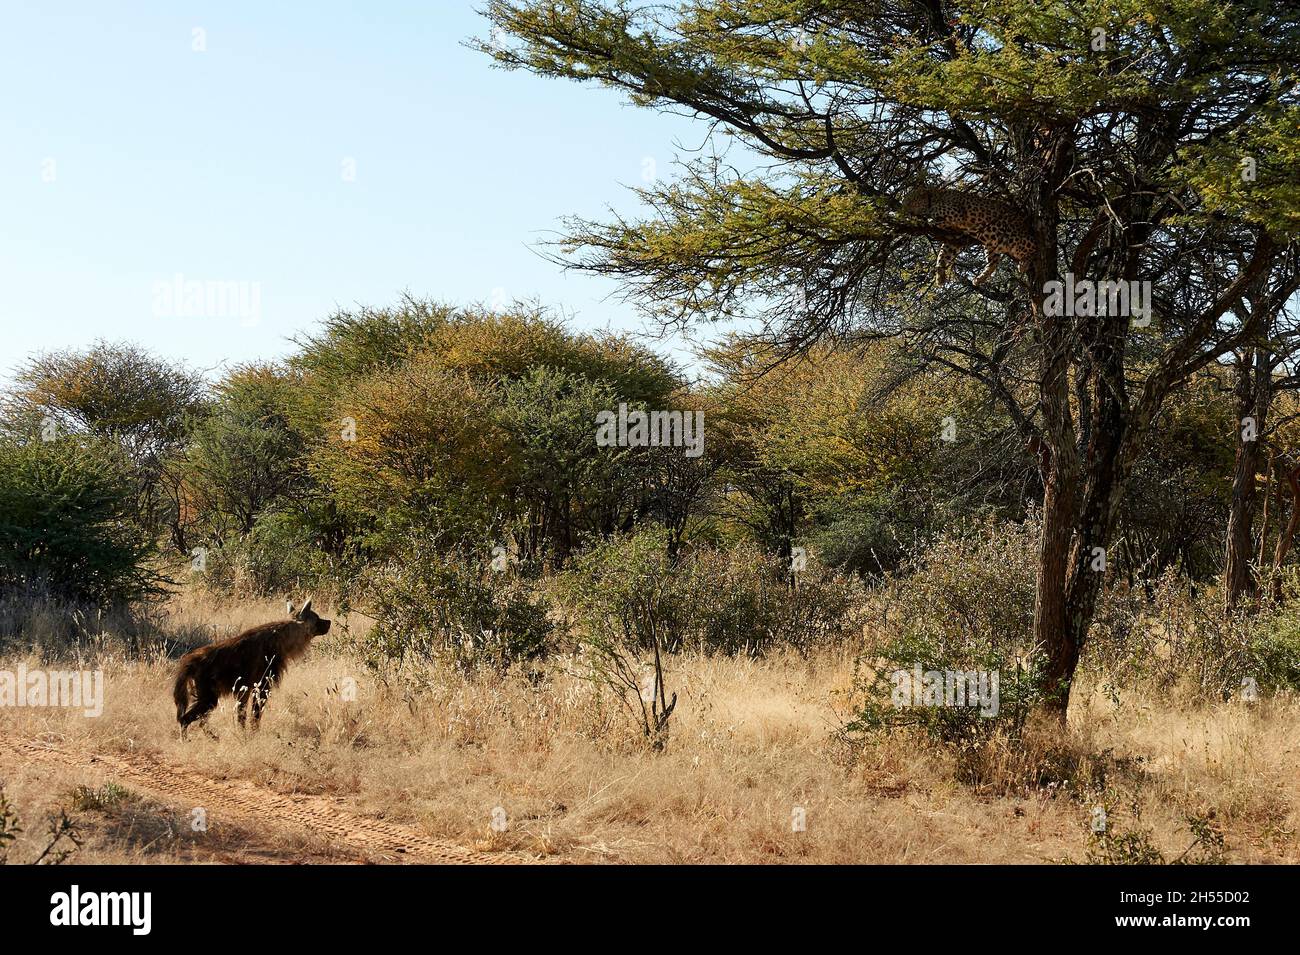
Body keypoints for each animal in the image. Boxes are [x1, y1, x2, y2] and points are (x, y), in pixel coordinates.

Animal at [899, 186, 1036, 287]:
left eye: (910, 200)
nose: (902, 209)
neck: (934, 197)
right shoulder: (953, 236)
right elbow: (943, 253)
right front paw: (940, 275)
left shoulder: (956, 214)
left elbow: (933, 219)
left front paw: (920, 221)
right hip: (993, 241)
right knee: (994, 262)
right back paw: (980, 279)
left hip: (1015, 238)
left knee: (1035, 247)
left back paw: (1024, 263)